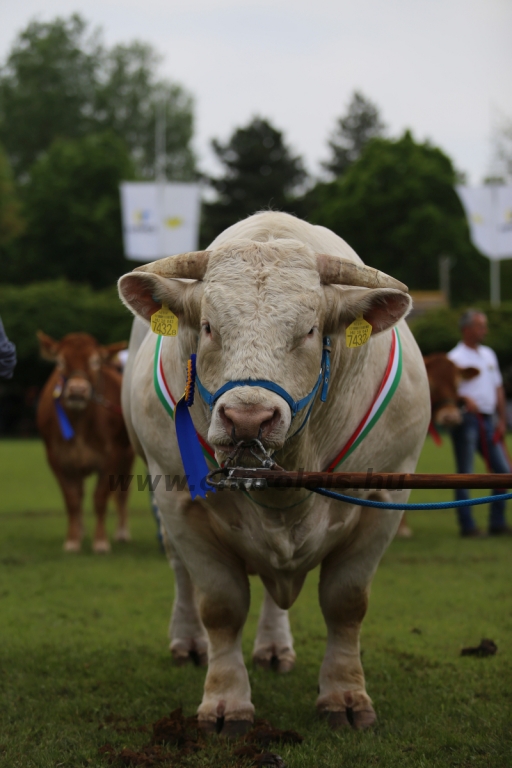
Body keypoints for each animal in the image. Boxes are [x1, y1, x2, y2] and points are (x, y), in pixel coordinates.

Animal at [37, 330, 135, 552]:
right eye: (60, 361)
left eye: (95, 361)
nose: (77, 390)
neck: (80, 424)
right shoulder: (56, 457)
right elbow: (72, 499)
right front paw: (72, 540)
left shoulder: (113, 455)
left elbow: (100, 497)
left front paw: (101, 542)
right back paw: (80, 530)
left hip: (128, 456)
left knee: (123, 493)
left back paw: (122, 532)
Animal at [118, 213, 430, 736]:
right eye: (207, 326)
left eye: (309, 330)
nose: (248, 419)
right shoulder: (180, 502)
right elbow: (220, 605)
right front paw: (226, 702)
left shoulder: (385, 499)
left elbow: (346, 601)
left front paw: (345, 696)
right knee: (182, 573)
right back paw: (189, 642)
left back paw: (273, 646)